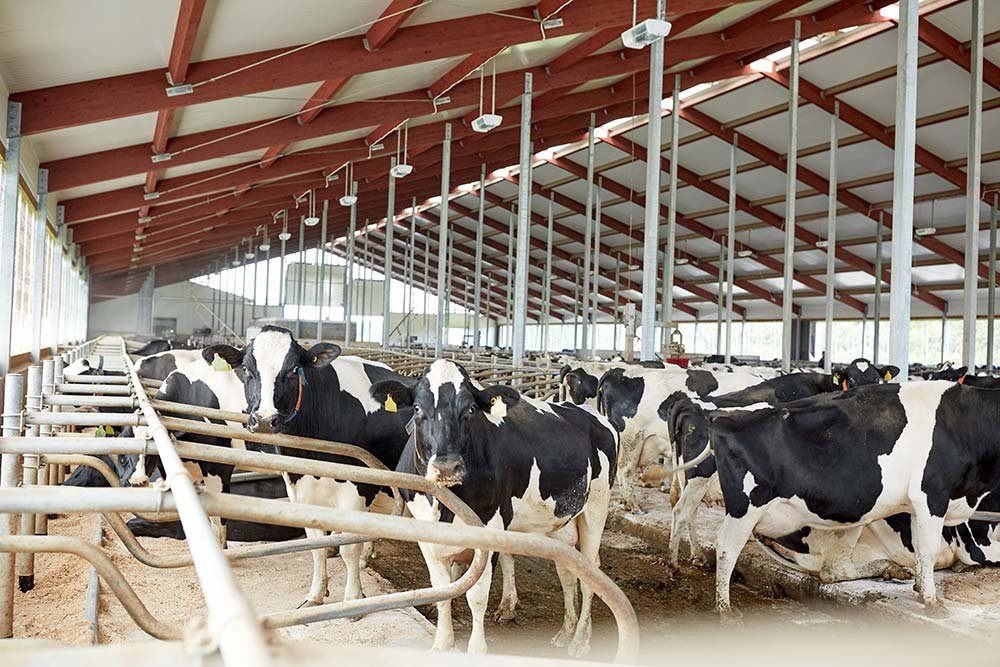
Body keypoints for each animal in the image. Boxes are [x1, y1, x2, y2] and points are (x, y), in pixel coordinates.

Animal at [209, 328, 412, 612]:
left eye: (294, 369)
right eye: (247, 370)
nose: (264, 420)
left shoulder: (361, 486)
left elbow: (349, 548)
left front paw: (352, 599)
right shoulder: (299, 486)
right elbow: (316, 545)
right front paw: (316, 594)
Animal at [374, 360, 616, 656]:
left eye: (470, 409)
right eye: (417, 408)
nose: (446, 467)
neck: (444, 507)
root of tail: (591, 413)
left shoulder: (489, 527)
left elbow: (477, 595)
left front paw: (476, 649)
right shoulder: (425, 532)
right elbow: (441, 588)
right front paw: (442, 643)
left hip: (596, 507)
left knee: (591, 570)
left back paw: (580, 640)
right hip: (560, 518)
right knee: (568, 569)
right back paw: (566, 631)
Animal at [712, 380, 1000, 616]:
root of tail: (723, 418)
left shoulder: (917, 505)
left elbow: (919, 549)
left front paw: (919, 588)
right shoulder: (932, 495)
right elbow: (928, 551)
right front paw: (931, 601)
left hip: (851, 520)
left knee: (833, 569)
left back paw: (889, 568)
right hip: (747, 505)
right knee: (726, 548)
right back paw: (725, 611)